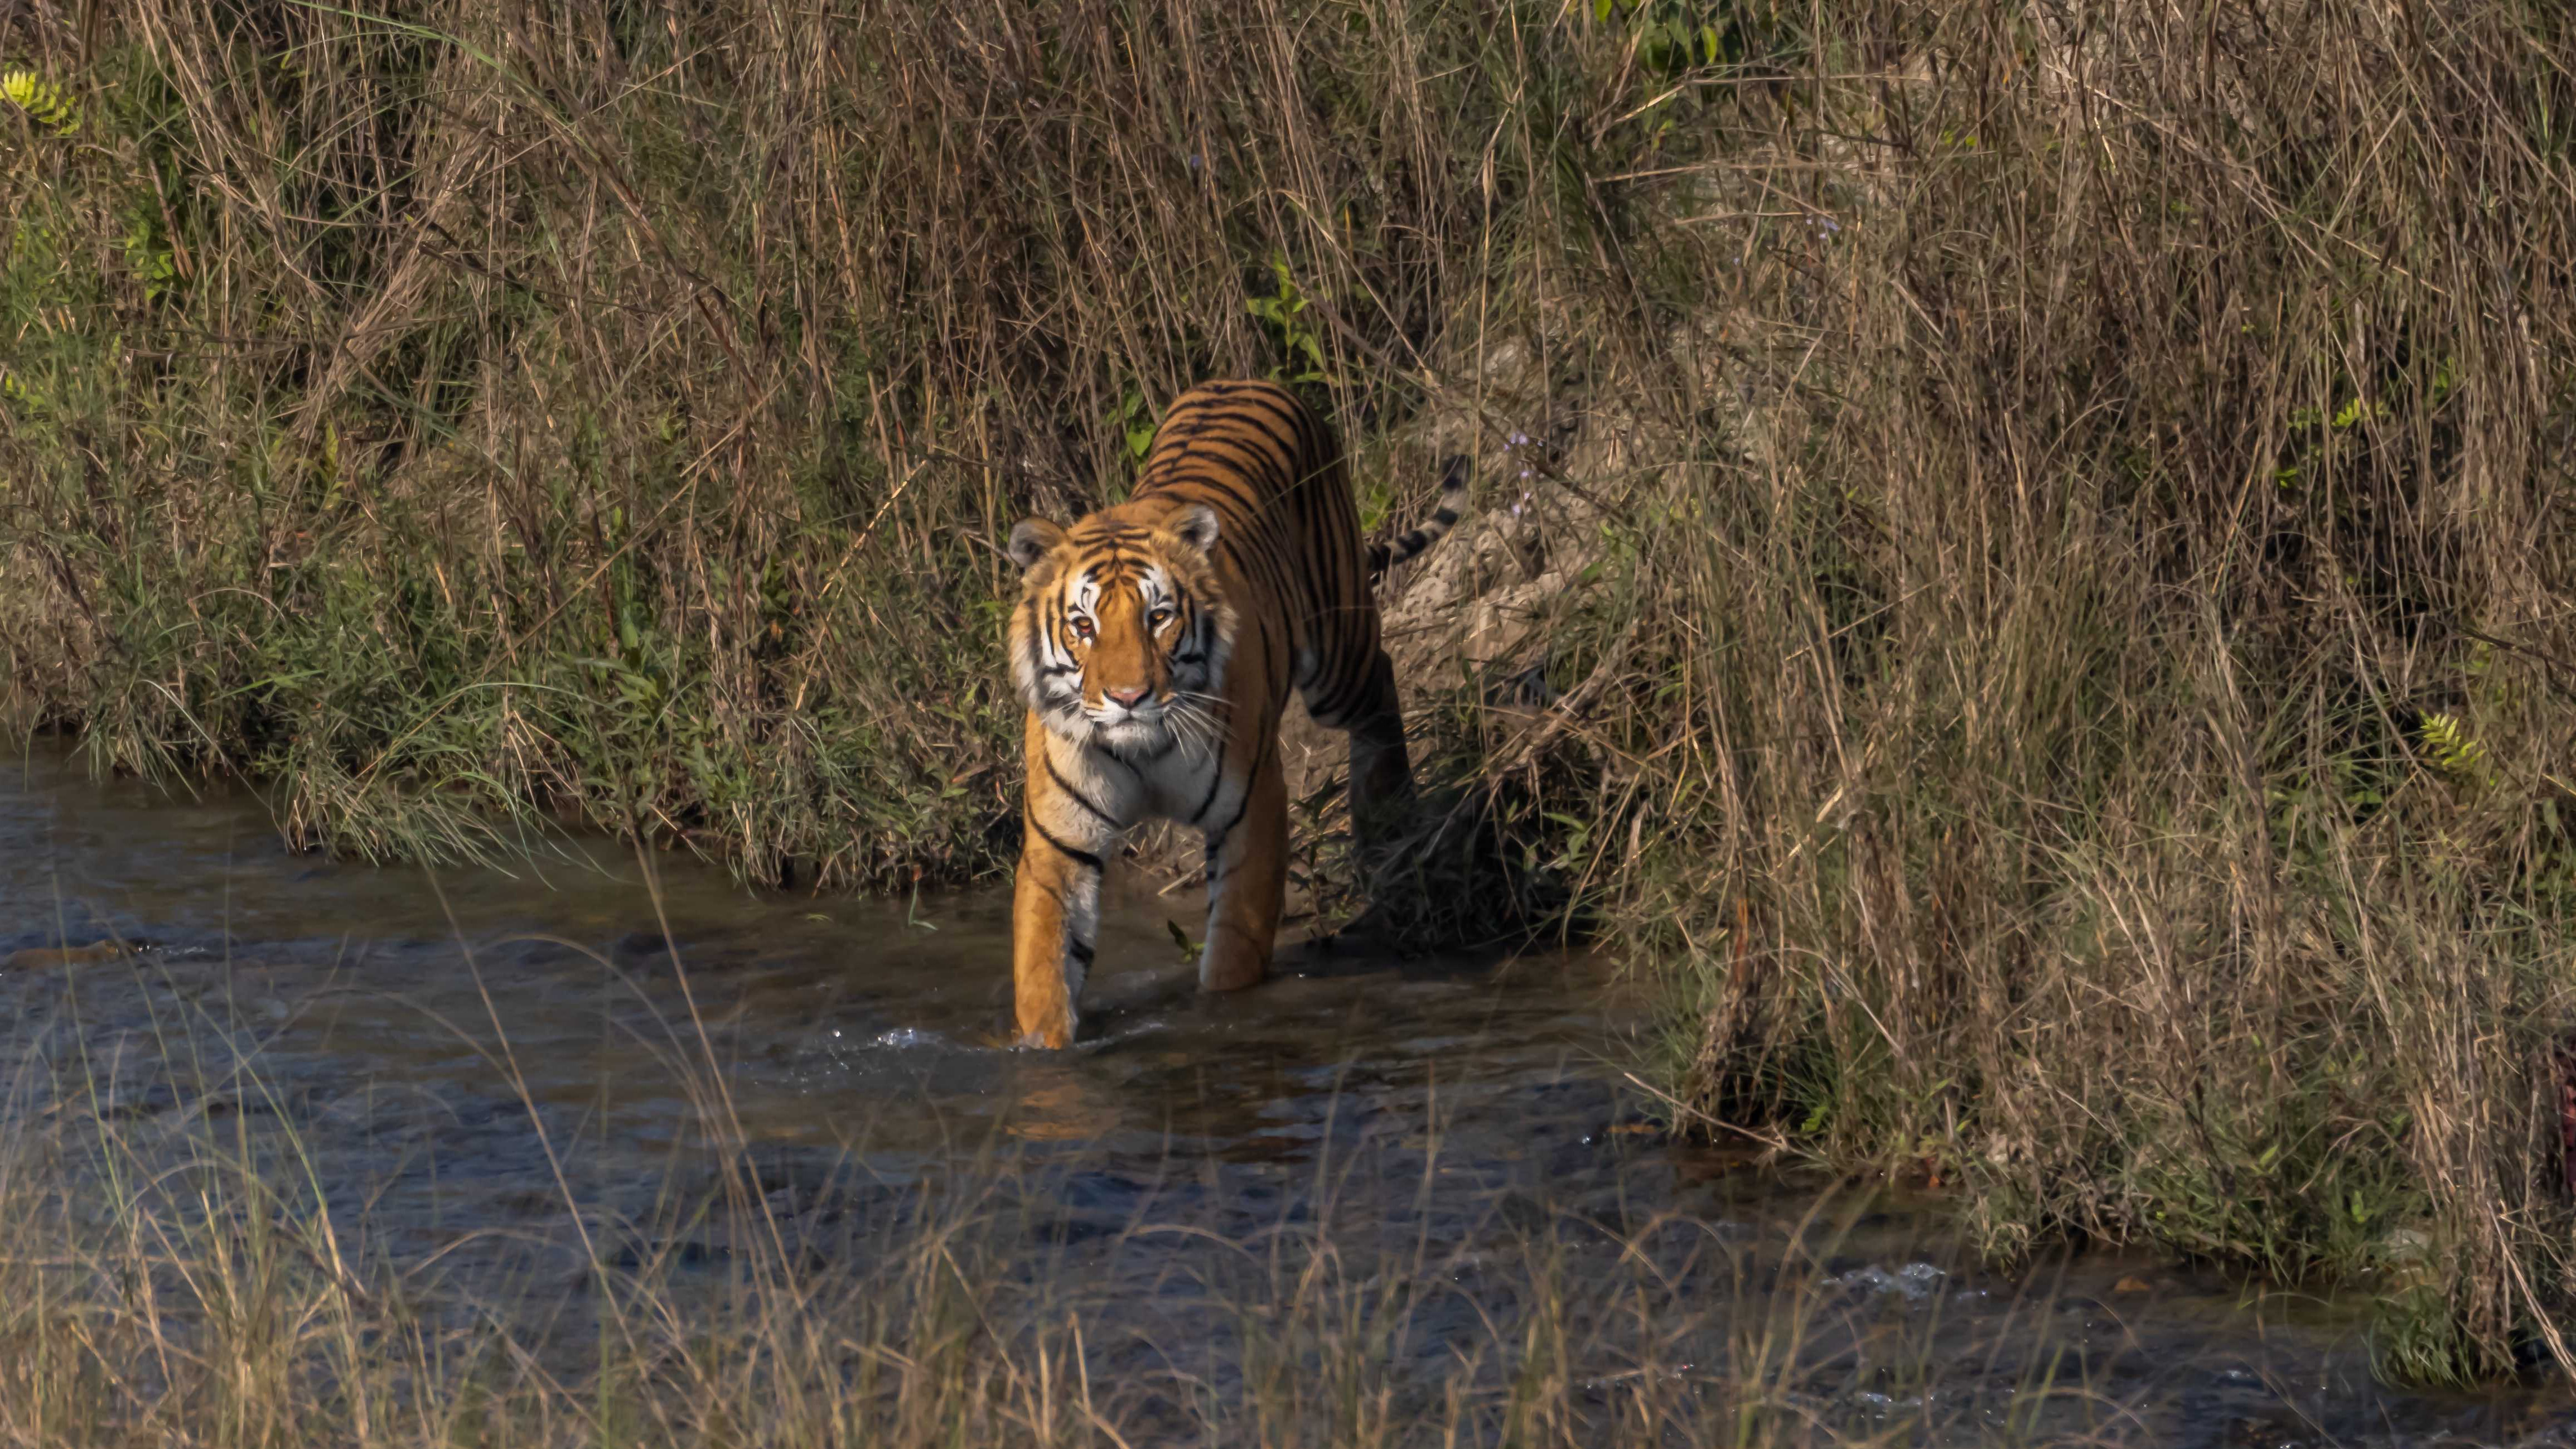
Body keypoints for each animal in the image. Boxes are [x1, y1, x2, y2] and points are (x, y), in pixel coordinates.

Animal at [1004, 379, 1473, 1041]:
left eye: (1158, 617)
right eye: (1083, 626)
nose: (1127, 699)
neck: (1141, 749)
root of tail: (1246, 381)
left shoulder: (1252, 810)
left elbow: (1232, 955)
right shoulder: (1059, 842)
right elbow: (1044, 970)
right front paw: (1044, 1048)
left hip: (1337, 650)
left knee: (1380, 681)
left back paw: (1383, 817)